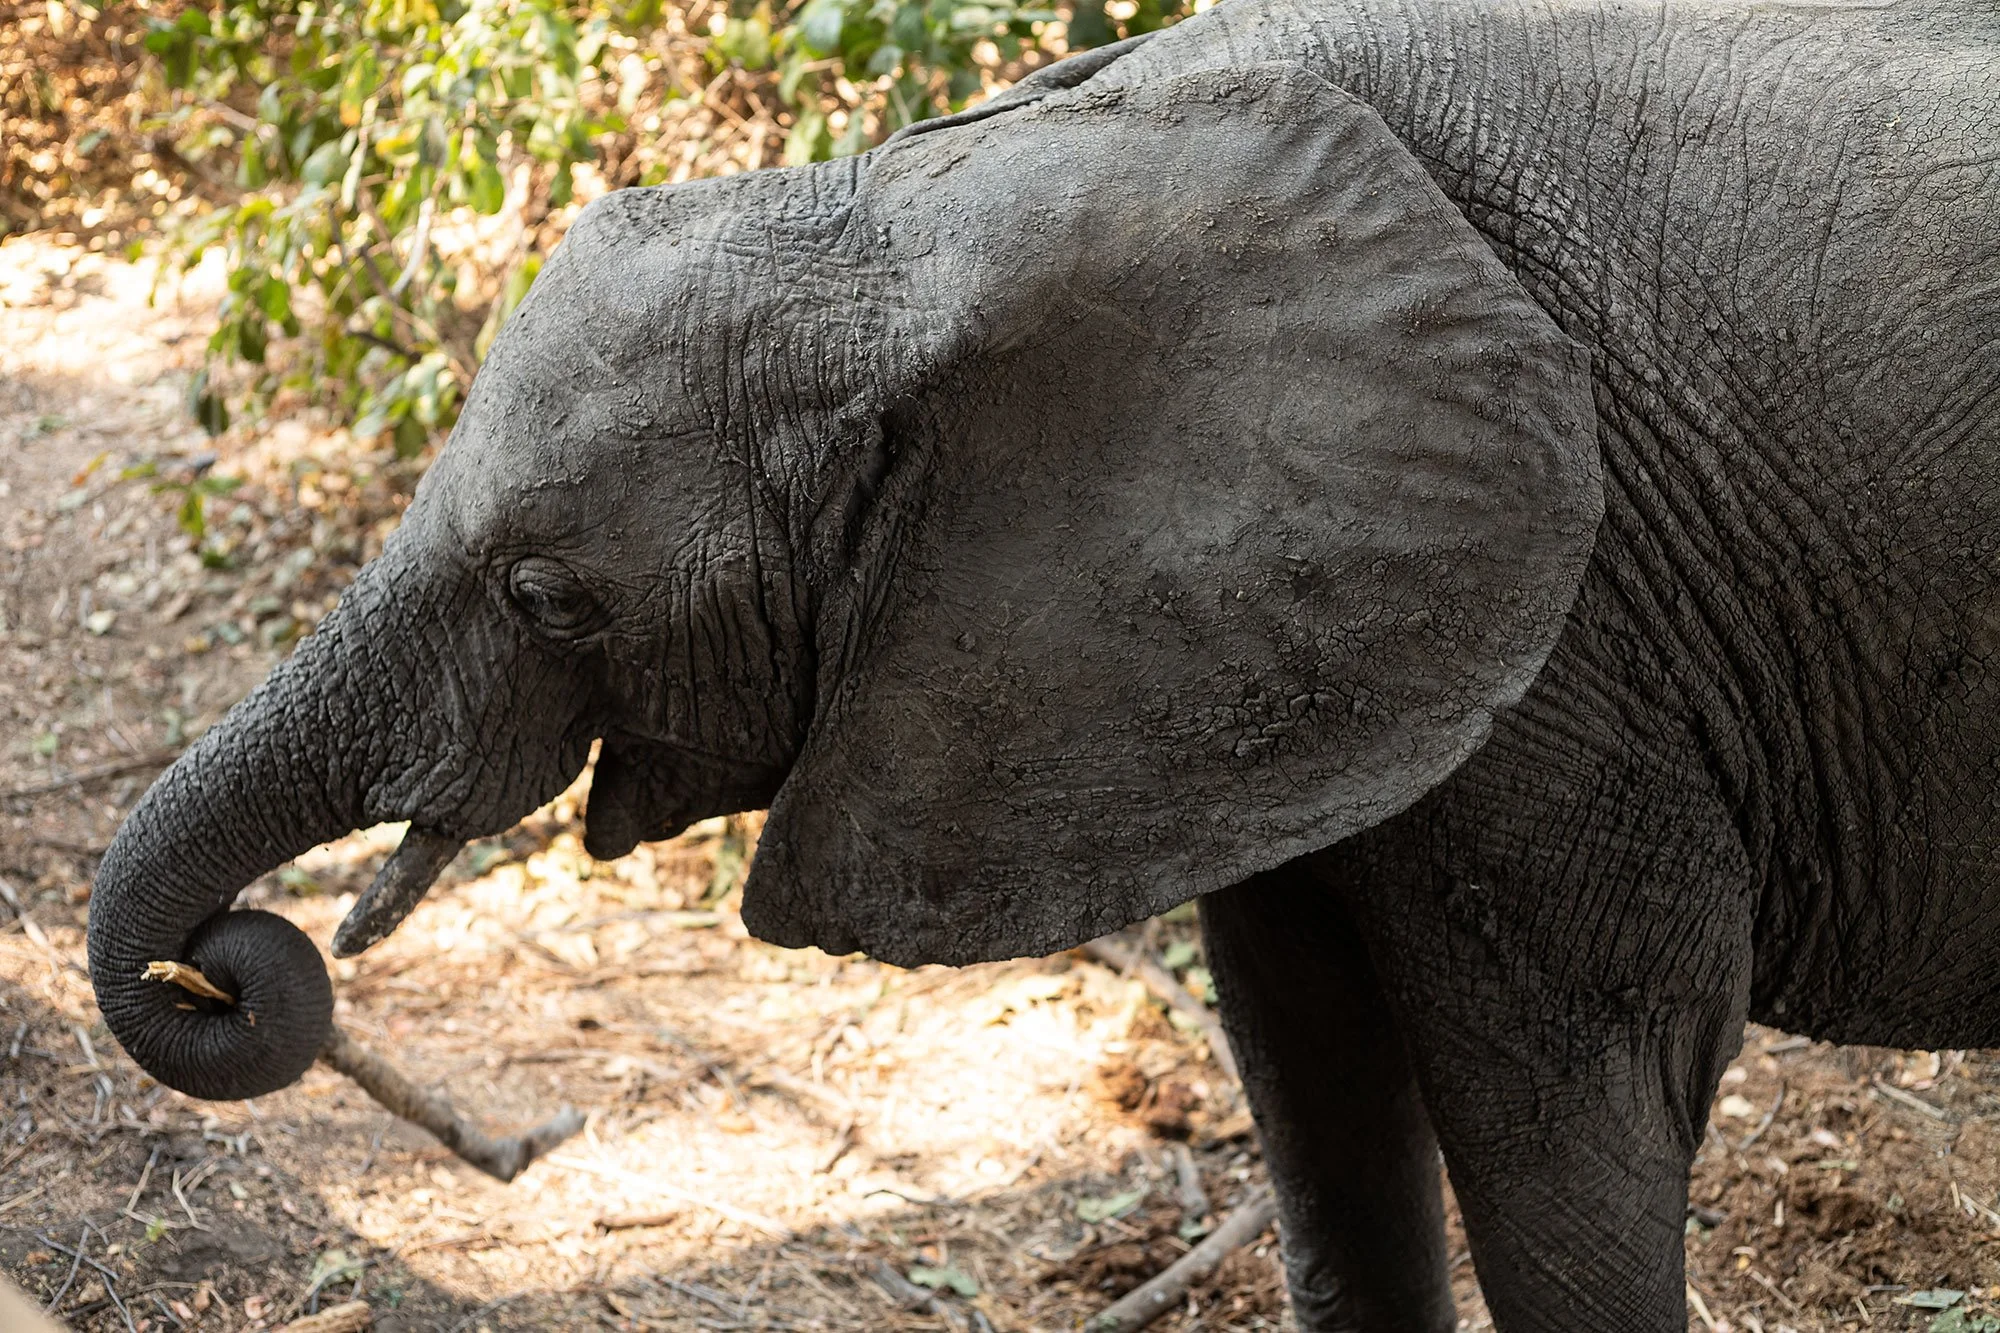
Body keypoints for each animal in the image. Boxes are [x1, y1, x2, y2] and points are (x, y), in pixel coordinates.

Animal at [86, 0, 2000, 1327]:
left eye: (550, 598)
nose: (224, 965)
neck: (938, 201)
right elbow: (1313, 1059)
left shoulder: (1580, 635)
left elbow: (1580, 1104)